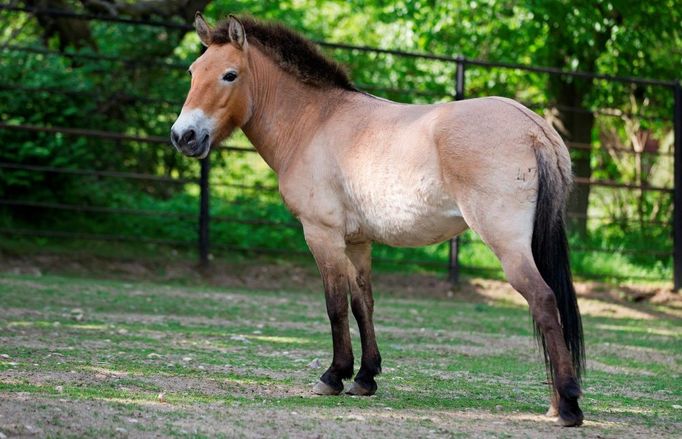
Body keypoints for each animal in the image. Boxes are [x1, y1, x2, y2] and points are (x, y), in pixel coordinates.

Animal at [170, 12, 584, 426]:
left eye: (229, 75)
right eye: (193, 71)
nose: (183, 136)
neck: (314, 122)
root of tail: (533, 128)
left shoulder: (322, 235)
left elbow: (335, 304)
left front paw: (333, 376)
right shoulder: (357, 242)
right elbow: (361, 304)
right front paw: (365, 378)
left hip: (507, 244)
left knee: (543, 300)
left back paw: (567, 404)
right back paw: (555, 402)